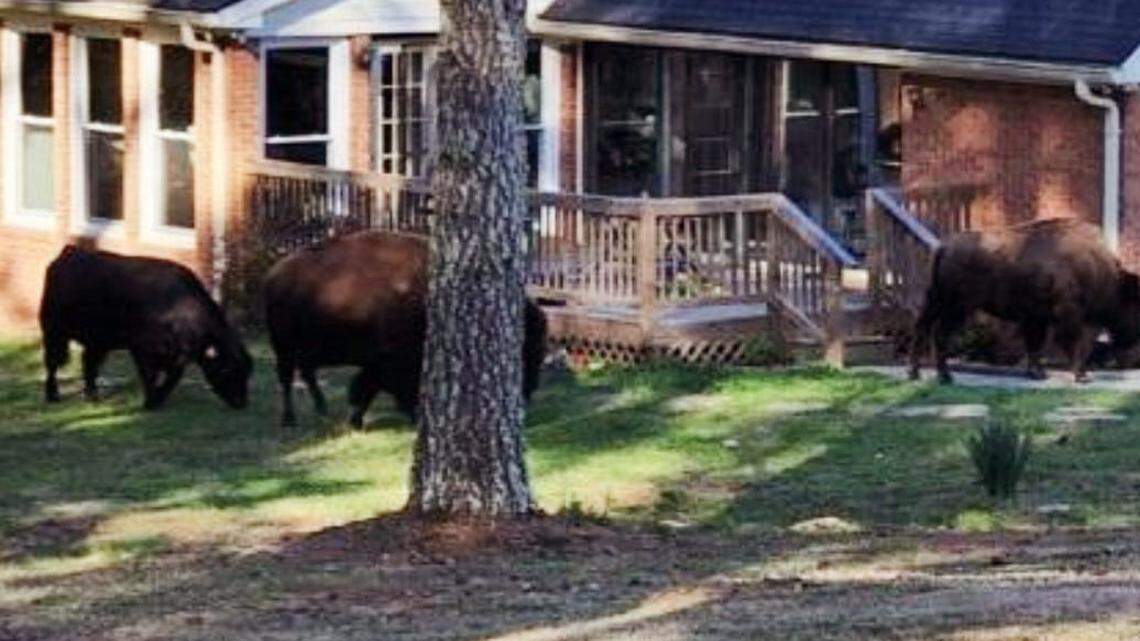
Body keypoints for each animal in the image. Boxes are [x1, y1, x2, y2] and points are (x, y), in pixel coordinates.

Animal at [40, 246, 253, 409]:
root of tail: (69, 253)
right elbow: (150, 376)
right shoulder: (142, 350)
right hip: (53, 332)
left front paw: (157, 400)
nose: (241, 403)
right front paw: (150, 402)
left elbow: (171, 379)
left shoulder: (175, 359)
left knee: (89, 364)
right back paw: (52, 395)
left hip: (98, 343)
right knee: (52, 364)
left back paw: (92, 396)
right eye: (227, 369)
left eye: (247, 372)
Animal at [264, 231, 548, 428]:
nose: (530, 390)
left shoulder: (379, 363)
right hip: (283, 349)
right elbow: (384, 388)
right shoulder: (393, 360)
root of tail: (274, 274)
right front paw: (409, 416)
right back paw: (290, 419)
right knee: (288, 380)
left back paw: (321, 408)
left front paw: (357, 419)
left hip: (303, 351)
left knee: (307, 374)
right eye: (526, 347)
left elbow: (368, 388)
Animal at [909, 219, 1140, 384]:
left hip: (936, 301)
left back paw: (915, 374)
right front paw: (1081, 376)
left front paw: (1037, 373)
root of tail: (944, 246)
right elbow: (1070, 342)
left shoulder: (1037, 318)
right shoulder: (1066, 315)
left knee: (921, 327)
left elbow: (1035, 344)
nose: (1133, 351)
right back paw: (944, 377)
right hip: (958, 307)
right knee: (939, 333)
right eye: (1133, 305)